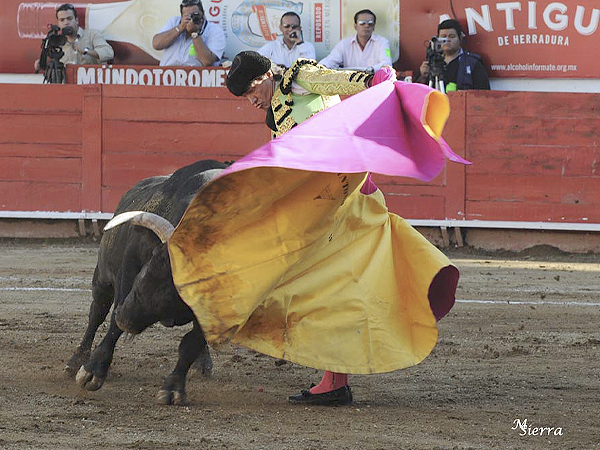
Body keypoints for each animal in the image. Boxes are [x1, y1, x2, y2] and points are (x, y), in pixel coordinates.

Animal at [63, 159, 227, 404]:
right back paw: (76, 361)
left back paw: (203, 364)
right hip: (102, 279)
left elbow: (191, 342)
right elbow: (111, 324)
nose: (126, 319)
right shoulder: (129, 269)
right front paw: (93, 371)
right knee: (97, 313)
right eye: (152, 267)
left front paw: (174, 388)